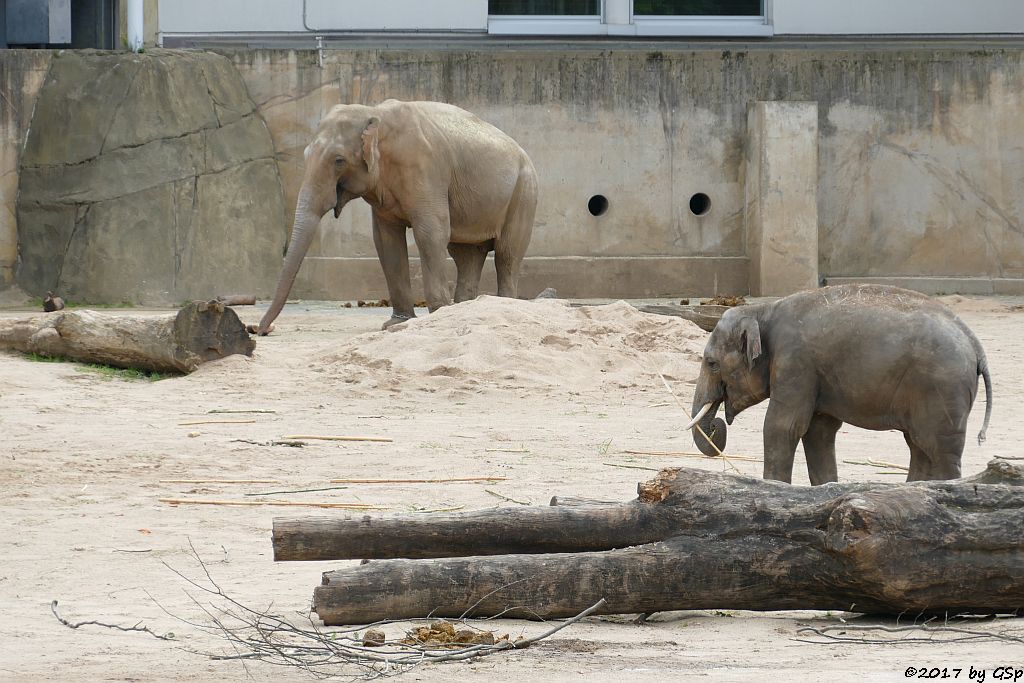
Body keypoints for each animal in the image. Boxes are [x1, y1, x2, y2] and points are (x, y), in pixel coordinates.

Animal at [688, 286, 991, 483]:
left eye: (711, 363)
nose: (715, 426)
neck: (762, 310)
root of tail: (976, 345)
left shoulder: (795, 363)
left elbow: (783, 426)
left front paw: (773, 487)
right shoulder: (814, 373)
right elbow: (818, 431)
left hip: (942, 390)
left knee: (940, 450)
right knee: (919, 445)